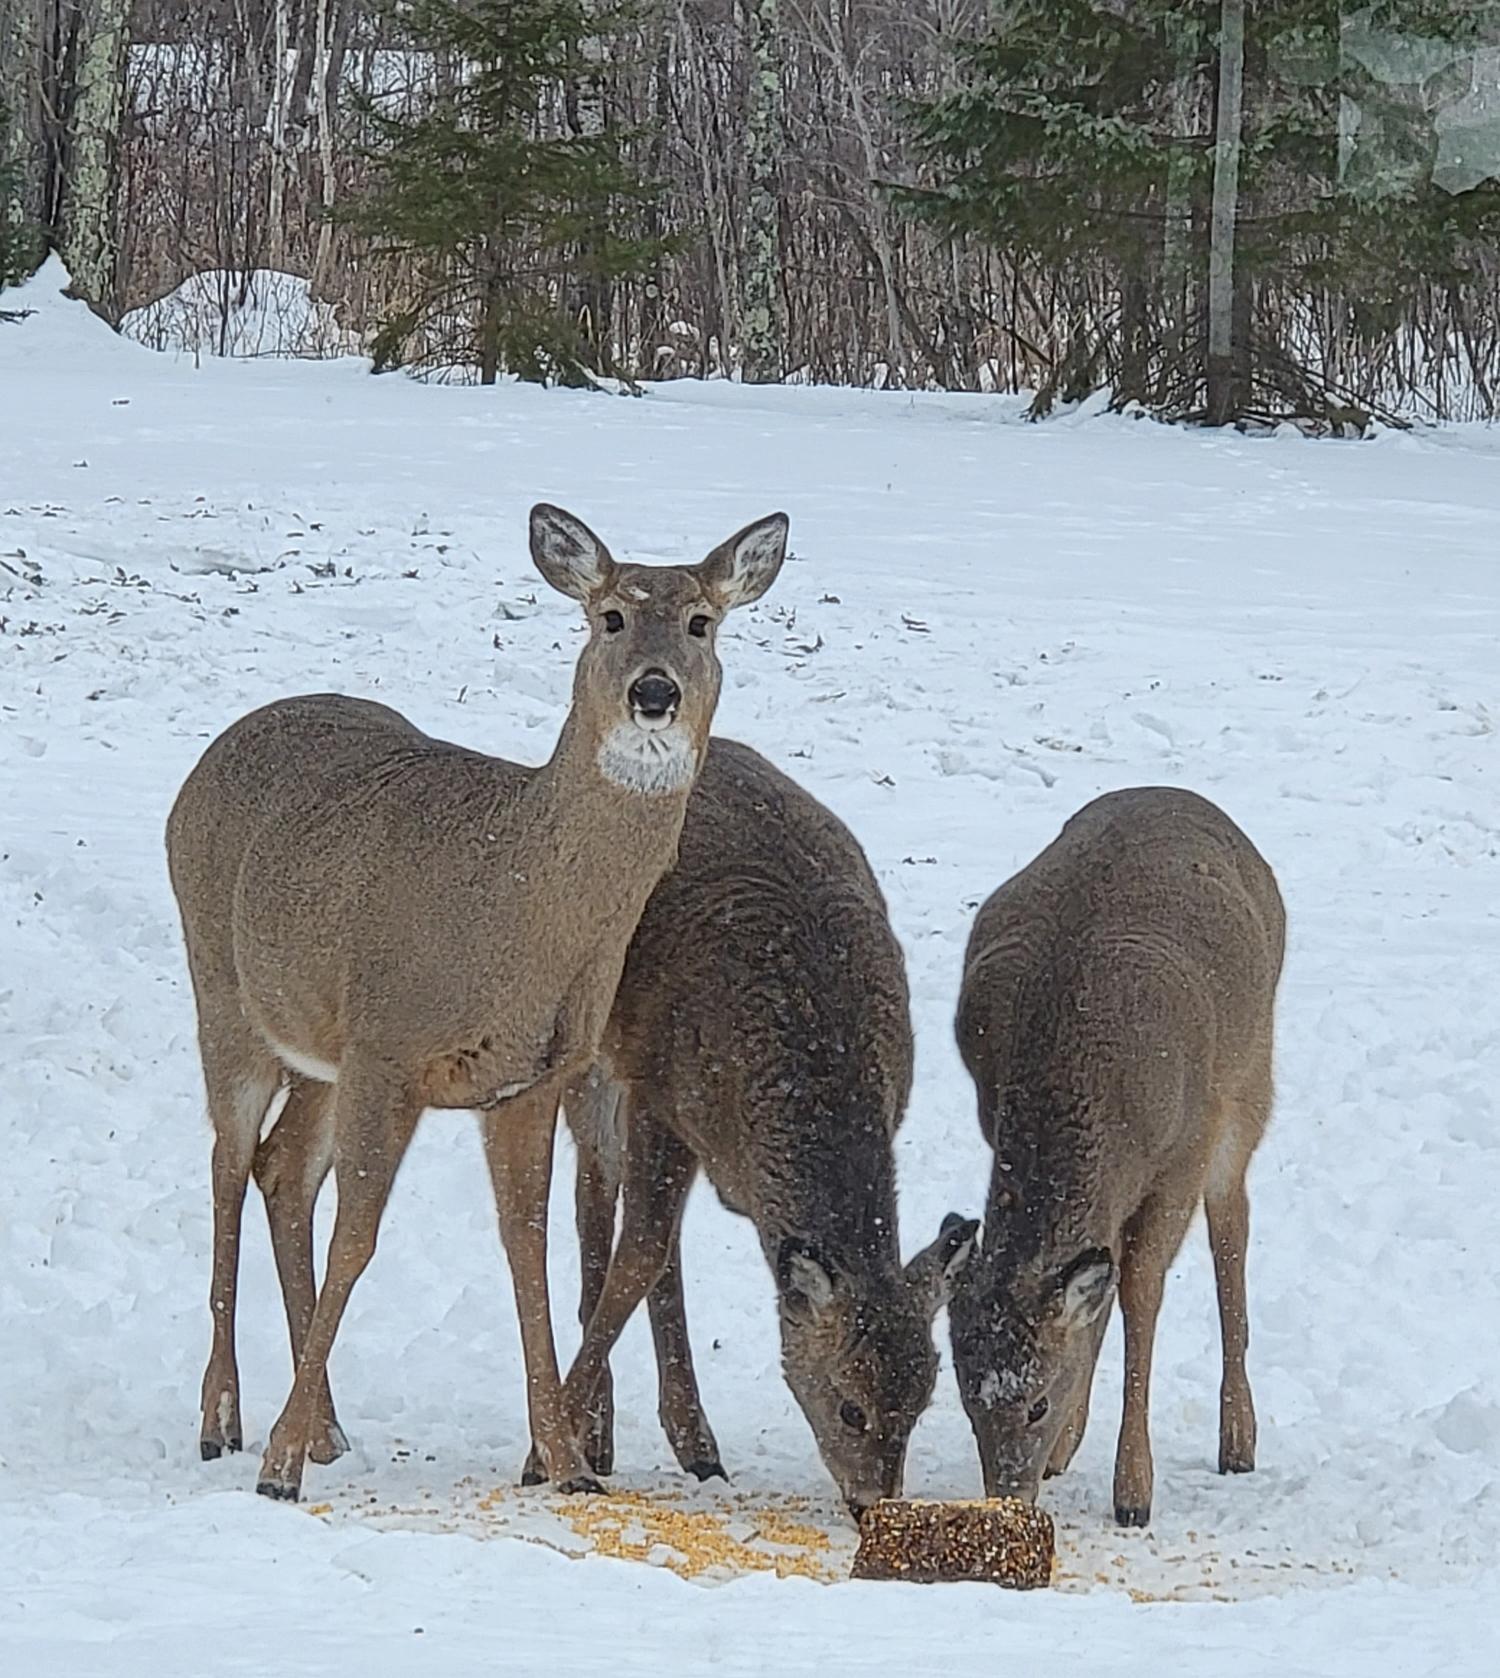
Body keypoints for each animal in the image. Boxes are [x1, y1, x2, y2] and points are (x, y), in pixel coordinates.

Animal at [166, 503, 791, 1503]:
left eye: (702, 623)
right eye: (610, 616)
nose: (654, 692)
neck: (512, 906)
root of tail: (207, 760)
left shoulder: (528, 1079)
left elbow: (525, 1248)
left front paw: (566, 1464)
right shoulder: (391, 1047)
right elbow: (359, 1244)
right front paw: (275, 1470)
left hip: (319, 1048)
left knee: (282, 1169)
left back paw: (329, 1429)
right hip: (222, 991)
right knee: (228, 1165)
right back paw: (224, 1421)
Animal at [543, 741, 986, 1516]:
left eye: (924, 1402)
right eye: (848, 1406)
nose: (873, 1503)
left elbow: (655, 1250)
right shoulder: (658, 1089)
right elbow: (639, 1253)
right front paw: (546, 1454)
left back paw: (694, 1445)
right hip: (591, 1033)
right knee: (594, 1197)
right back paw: (601, 1435)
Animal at [946, 778, 1288, 1530]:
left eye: (1036, 1401)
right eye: (964, 1398)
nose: (1006, 1496)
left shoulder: (1181, 1154)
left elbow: (1141, 1290)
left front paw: (1133, 1491)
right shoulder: (991, 1116)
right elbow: (1097, 1288)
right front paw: (1066, 1450)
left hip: (1249, 1082)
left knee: (1234, 1229)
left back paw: (1239, 1439)